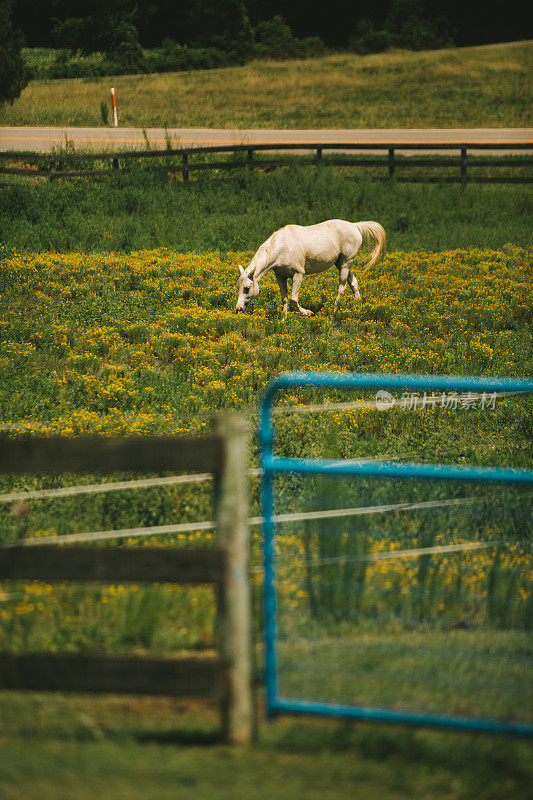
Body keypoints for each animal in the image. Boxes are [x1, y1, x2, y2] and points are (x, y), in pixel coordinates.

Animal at [235, 222, 384, 318]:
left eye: (247, 288)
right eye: (238, 287)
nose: (238, 309)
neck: (283, 247)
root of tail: (354, 226)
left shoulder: (298, 274)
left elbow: (294, 298)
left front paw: (308, 312)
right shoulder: (280, 276)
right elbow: (284, 298)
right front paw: (284, 319)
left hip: (346, 263)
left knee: (341, 288)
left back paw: (334, 313)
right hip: (340, 263)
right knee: (353, 282)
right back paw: (357, 306)